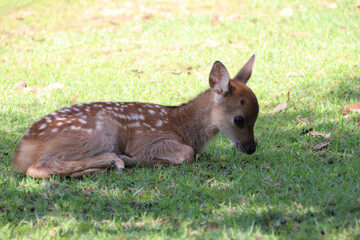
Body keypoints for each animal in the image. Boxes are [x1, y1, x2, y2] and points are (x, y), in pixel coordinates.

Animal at [11, 54, 258, 178]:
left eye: (257, 116)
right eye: (239, 119)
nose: (251, 148)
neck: (183, 125)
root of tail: (21, 150)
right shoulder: (146, 139)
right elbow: (187, 153)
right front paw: (134, 160)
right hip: (95, 131)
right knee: (37, 167)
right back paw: (115, 161)